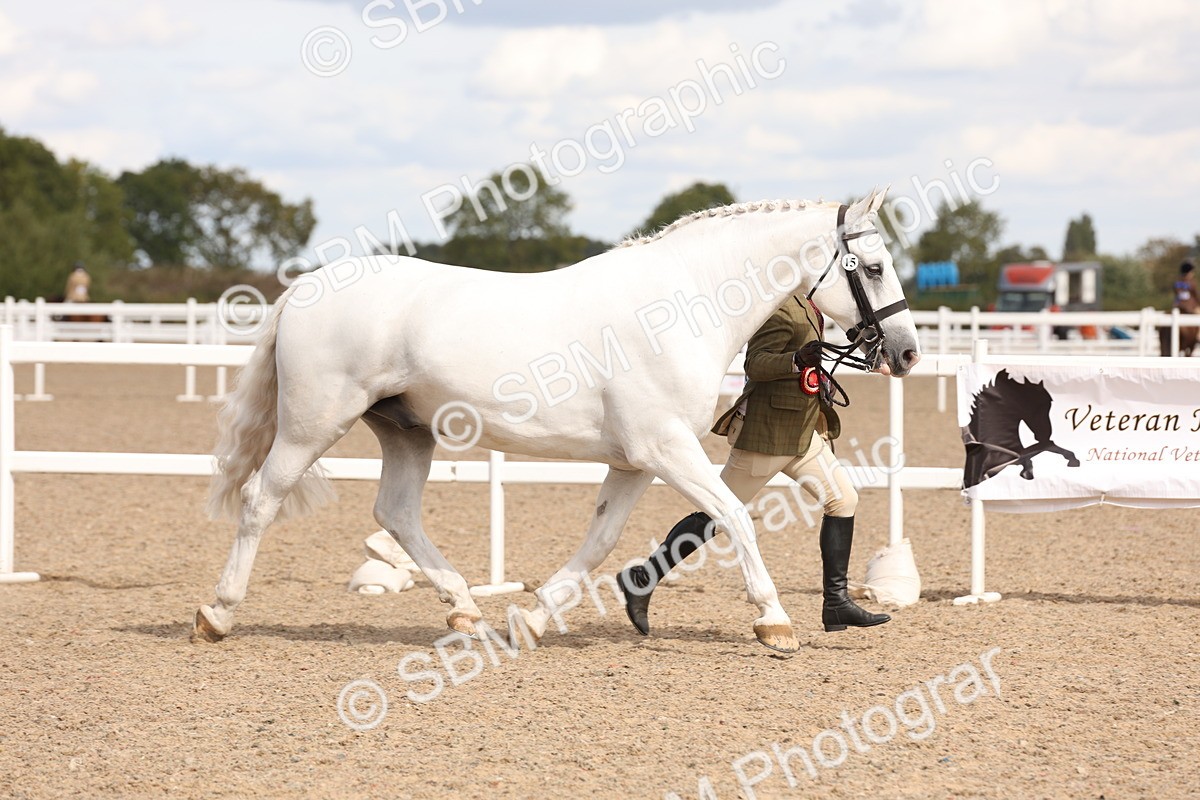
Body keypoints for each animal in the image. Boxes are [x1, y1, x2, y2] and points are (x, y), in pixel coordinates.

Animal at [193, 188, 921, 654]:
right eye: (874, 267)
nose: (907, 353)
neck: (682, 305)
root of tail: (306, 287)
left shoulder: (634, 461)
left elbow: (602, 540)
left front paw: (534, 622)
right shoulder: (667, 451)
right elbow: (736, 518)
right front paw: (774, 624)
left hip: (407, 432)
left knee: (394, 513)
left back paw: (466, 611)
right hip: (311, 426)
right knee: (260, 500)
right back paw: (216, 615)